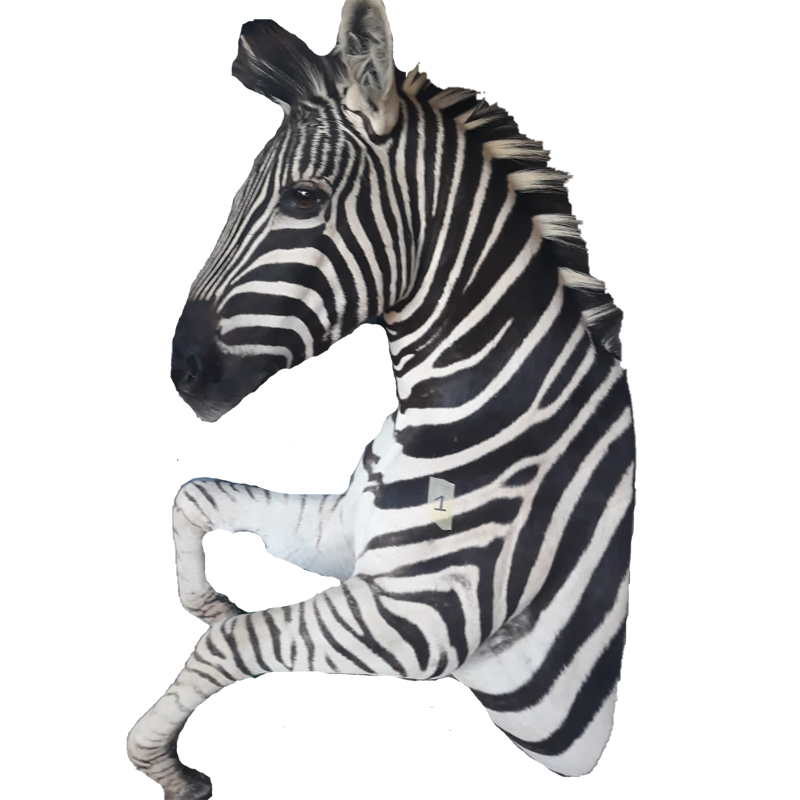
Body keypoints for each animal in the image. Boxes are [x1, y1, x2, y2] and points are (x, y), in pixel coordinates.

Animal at [127, 1, 635, 797]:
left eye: (303, 197)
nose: (181, 370)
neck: (477, 405)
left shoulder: (422, 617)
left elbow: (236, 640)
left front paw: (158, 761)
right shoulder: (349, 535)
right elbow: (199, 499)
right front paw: (202, 599)